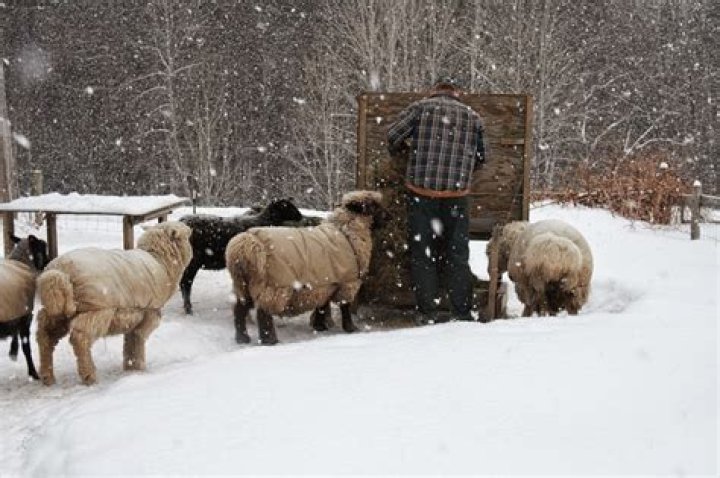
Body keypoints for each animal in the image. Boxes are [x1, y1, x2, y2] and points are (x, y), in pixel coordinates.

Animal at [0, 234, 49, 380]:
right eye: (41, 247)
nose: (48, 262)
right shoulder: (26, 314)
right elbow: (26, 347)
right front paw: (33, 373)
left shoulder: (16, 311)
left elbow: (15, 332)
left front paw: (13, 352)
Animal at [35, 221, 192, 385]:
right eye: (187, 235)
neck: (161, 263)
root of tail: (59, 272)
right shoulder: (149, 311)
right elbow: (138, 339)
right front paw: (139, 367)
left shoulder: (135, 315)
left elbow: (130, 340)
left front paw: (130, 367)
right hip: (97, 310)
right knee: (80, 338)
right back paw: (89, 375)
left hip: (57, 309)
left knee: (45, 335)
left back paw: (47, 375)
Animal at [225, 190, 387, 345]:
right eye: (373, 205)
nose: (389, 217)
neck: (347, 232)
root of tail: (244, 246)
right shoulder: (347, 283)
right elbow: (344, 306)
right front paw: (351, 328)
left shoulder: (326, 283)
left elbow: (322, 305)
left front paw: (320, 326)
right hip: (271, 288)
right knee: (263, 313)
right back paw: (269, 340)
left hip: (244, 285)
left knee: (239, 309)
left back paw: (242, 338)